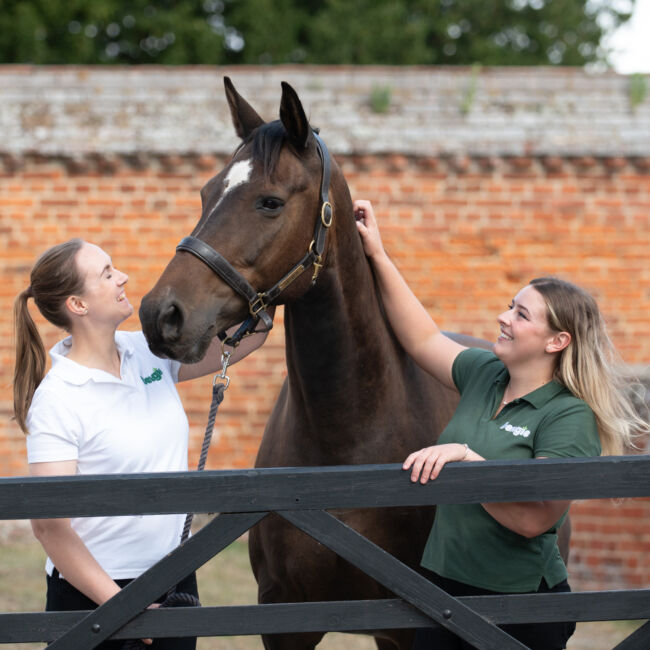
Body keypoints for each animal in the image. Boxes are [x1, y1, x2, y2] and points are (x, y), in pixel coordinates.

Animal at [139, 79, 564, 649]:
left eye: (269, 202)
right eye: (206, 194)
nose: (160, 314)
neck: (348, 442)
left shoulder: (415, 624)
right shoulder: (283, 619)